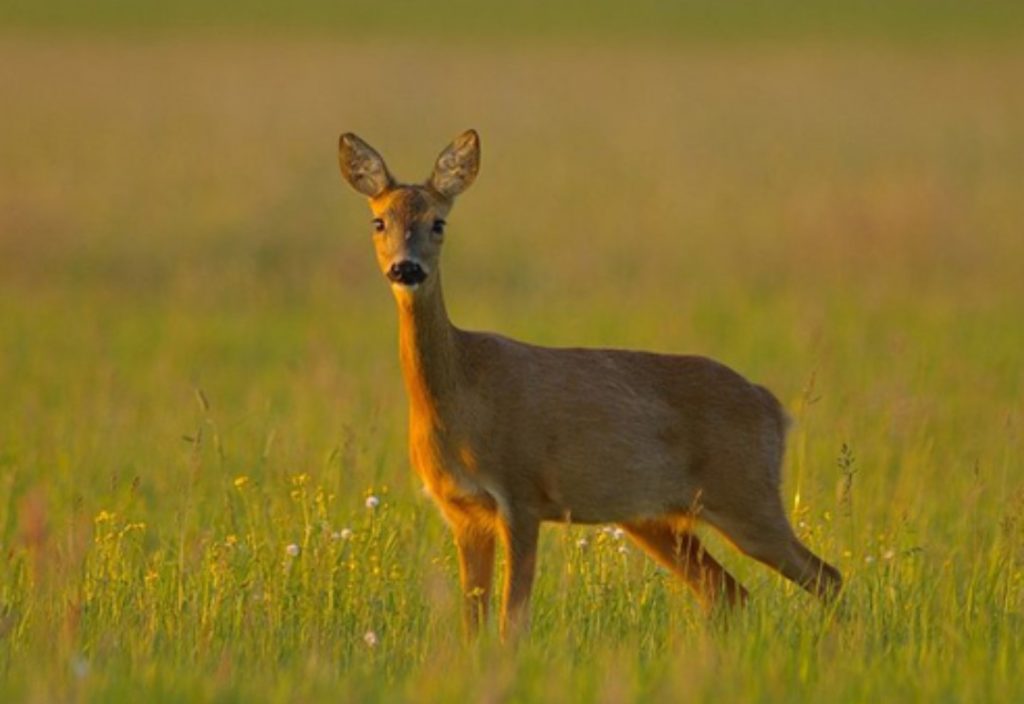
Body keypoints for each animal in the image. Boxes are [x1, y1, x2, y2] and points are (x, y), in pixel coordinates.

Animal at [335, 129, 839, 642]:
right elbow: (472, 622)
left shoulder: (521, 492)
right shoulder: (463, 511)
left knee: (826, 576)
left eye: (438, 223)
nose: (406, 268)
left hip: (748, 495)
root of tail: (774, 408)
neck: (461, 393)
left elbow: (512, 621)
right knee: (728, 591)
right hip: (656, 518)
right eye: (379, 221)